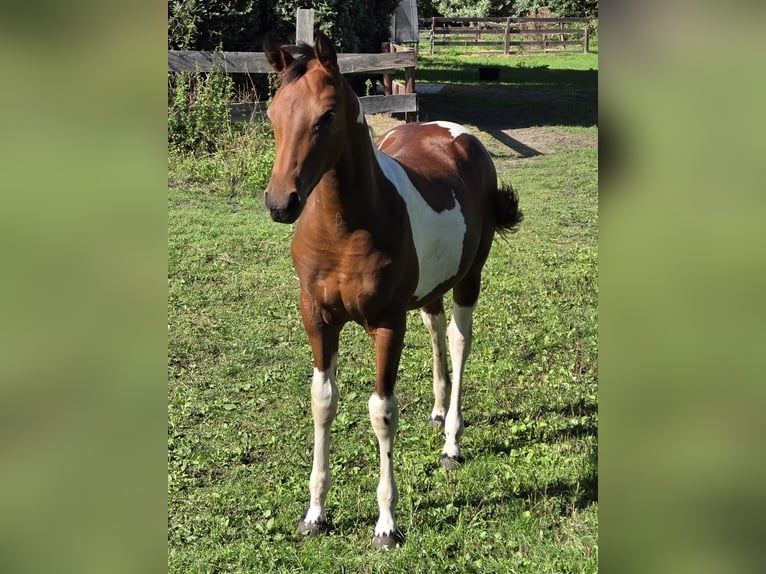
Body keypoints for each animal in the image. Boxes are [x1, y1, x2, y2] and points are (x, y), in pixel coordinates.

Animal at [262, 32, 522, 548]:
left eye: (326, 116)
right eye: (272, 113)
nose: (281, 203)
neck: (344, 227)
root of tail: (457, 133)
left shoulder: (386, 323)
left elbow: (382, 412)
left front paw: (386, 523)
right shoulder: (316, 317)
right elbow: (323, 400)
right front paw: (314, 513)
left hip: (469, 278)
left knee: (459, 341)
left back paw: (452, 441)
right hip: (430, 288)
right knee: (436, 328)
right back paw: (438, 412)